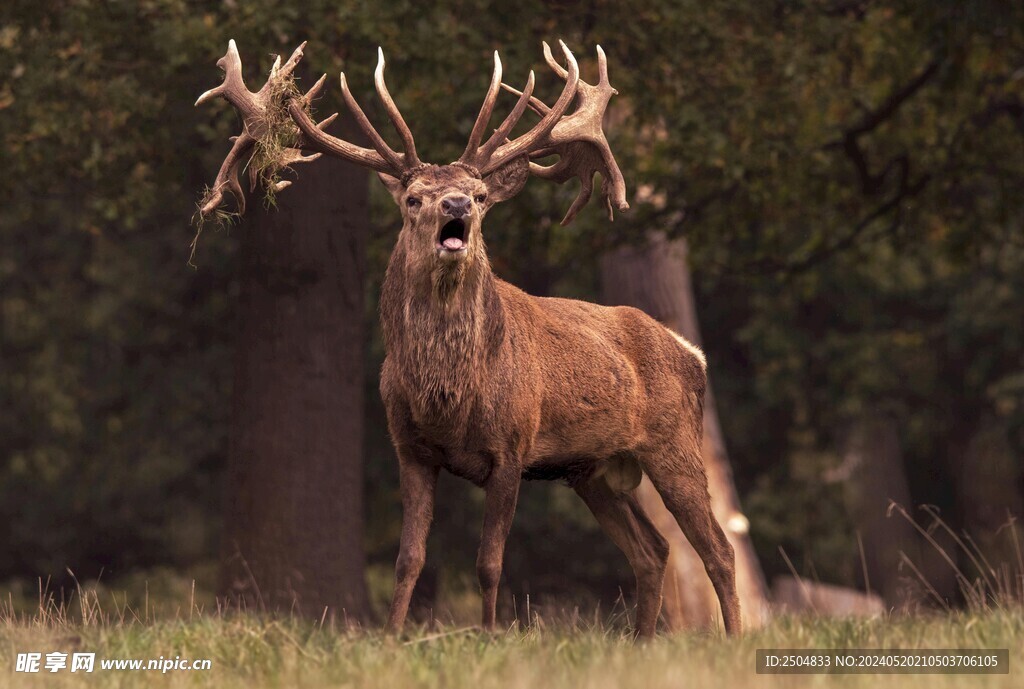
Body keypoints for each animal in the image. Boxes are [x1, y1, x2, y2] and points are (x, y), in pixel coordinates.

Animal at [195, 39, 741, 638]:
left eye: (479, 195)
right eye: (413, 197)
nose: (455, 206)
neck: (448, 400)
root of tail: (692, 353)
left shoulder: (512, 447)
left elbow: (489, 562)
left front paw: (490, 635)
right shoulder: (409, 448)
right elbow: (408, 558)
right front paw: (392, 637)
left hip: (674, 441)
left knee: (718, 549)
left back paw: (733, 638)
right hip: (591, 470)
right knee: (653, 550)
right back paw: (642, 641)